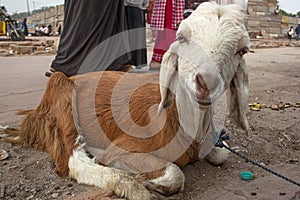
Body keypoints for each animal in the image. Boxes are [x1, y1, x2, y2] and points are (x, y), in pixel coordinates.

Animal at [1, 1, 250, 200]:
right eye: (182, 38)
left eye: (242, 50)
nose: (206, 82)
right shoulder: (124, 146)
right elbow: (174, 173)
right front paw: (146, 182)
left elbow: (222, 153)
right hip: (61, 94)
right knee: (73, 159)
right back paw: (129, 184)